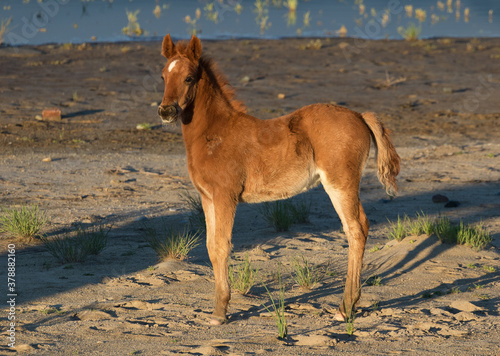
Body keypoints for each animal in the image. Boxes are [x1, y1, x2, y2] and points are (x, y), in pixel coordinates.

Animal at [158, 34, 400, 326]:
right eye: (163, 76)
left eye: (189, 78)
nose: (166, 111)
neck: (215, 133)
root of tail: (360, 116)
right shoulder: (207, 198)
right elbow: (211, 248)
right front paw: (217, 309)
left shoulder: (226, 196)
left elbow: (223, 246)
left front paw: (220, 313)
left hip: (340, 183)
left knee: (356, 229)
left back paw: (345, 308)